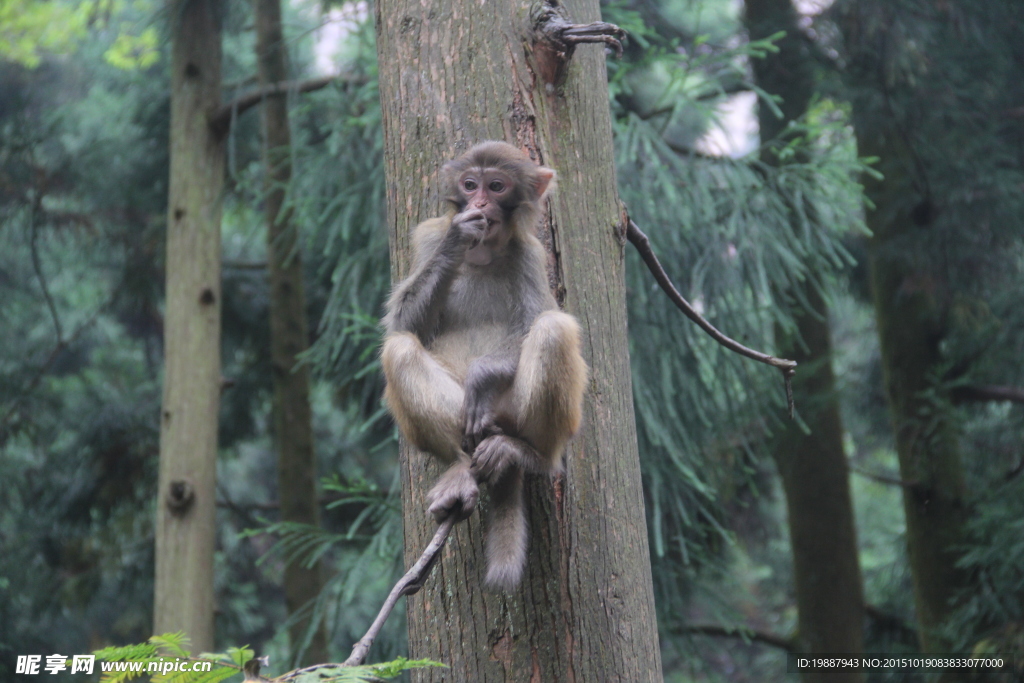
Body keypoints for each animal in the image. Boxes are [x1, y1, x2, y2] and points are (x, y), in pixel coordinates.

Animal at [380, 141, 589, 589]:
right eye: (469, 184)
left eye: (496, 186)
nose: (478, 203)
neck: (483, 254)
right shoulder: (427, 235)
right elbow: (404, 324)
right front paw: (458, 236)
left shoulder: (531, 253)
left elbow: (534, 321)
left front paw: (481, 375)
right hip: (469, 421)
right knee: (399, 349)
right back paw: (460, 469)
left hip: (510, 410)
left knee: (552, 329)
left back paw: (528, 455)